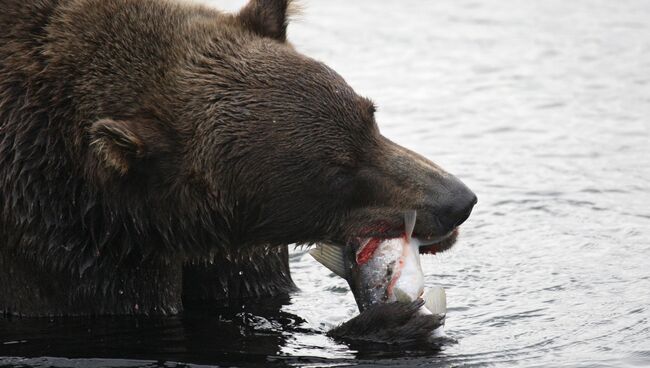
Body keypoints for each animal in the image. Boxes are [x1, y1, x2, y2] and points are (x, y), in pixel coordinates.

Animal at [0, 0, 476, 330]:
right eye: (337, 170)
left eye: (370, 116)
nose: (457, 201)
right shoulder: (69, 250)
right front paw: (391, 320)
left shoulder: (234, 252)